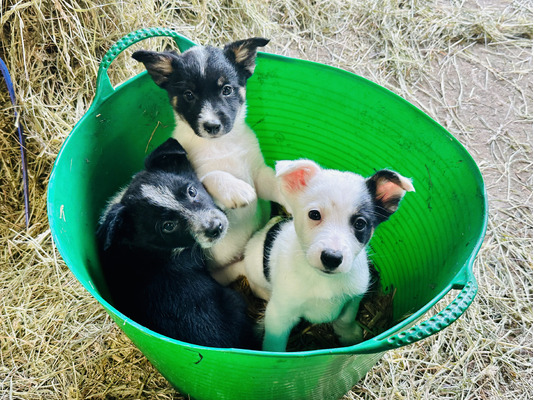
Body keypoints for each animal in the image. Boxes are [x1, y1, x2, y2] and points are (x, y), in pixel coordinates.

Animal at [99, 138, 262, 350]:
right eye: (168, 226)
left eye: (191, 191)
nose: (216, 228)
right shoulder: (206, 255)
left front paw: (235, 189)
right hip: (232, 301)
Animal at [133, 36, 284, 282]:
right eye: (188, 95)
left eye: (227, 89)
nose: (211, 126)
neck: (220, 145)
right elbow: (211, 176)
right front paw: (237, 190)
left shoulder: (258, 171)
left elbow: (275, 184)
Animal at [241, 159, 416, 350]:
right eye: (314, 214)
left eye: (360, 223)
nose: (332, 258)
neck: (323, 279)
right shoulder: (279, 314)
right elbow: (275, 344)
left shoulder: (353, 298)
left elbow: (345, 319)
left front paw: (348, 335)